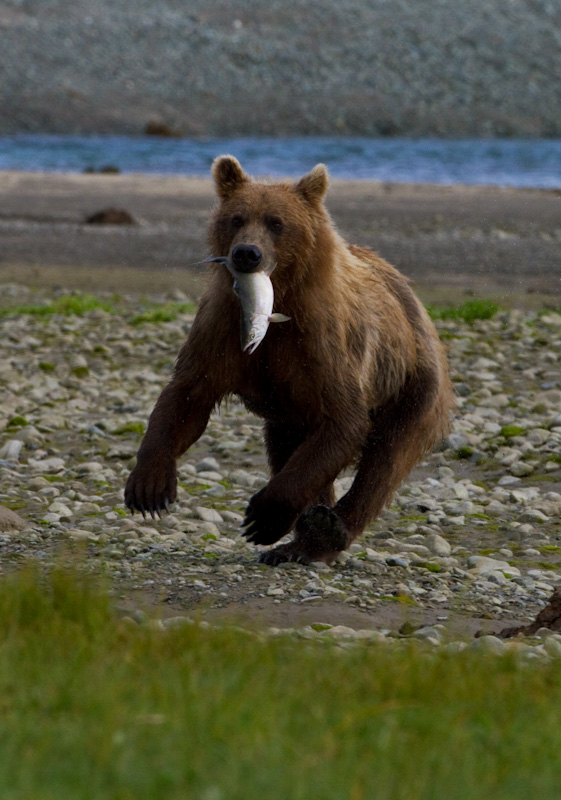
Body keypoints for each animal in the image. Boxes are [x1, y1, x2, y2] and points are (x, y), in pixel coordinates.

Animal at [123, 156, 456, 564]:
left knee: (385, 457)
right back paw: (303, 535)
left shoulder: (322, 345)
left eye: (276, 222)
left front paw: (263, 518)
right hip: (288, 412)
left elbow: (343, 420)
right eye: (236, 218)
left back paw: (325, 530)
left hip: (412, 379)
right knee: (290, 447)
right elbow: (186, 398)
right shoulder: (221, 331)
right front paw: (149, 486)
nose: (246, 253)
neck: (278, 297)